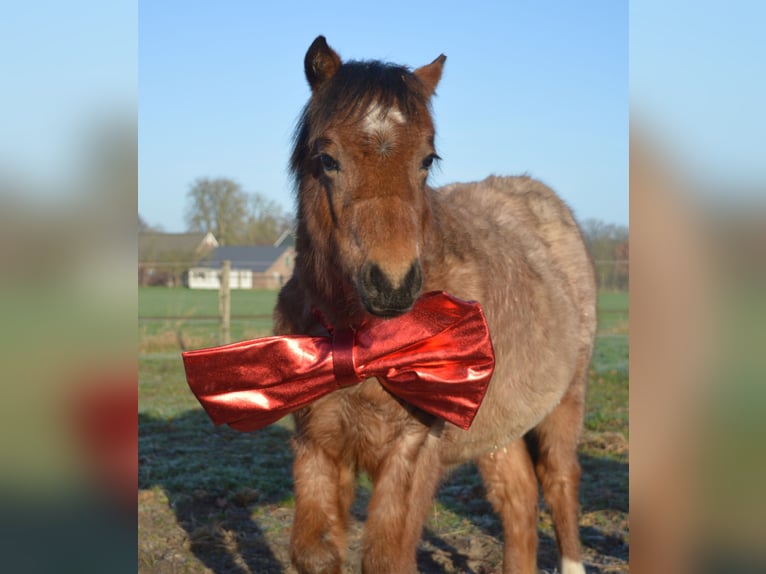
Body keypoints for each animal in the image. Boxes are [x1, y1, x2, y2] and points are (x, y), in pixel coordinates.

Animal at [273, 36, 597, 574]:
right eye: (326, 158)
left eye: (427, 159)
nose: (392, 283)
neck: (362, 344)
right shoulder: (318, 444)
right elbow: (314, 554)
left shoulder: (413, 452)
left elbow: (387, 559)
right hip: (499, 430)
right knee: (519, 501)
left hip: (564, 404)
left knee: (559, 482)